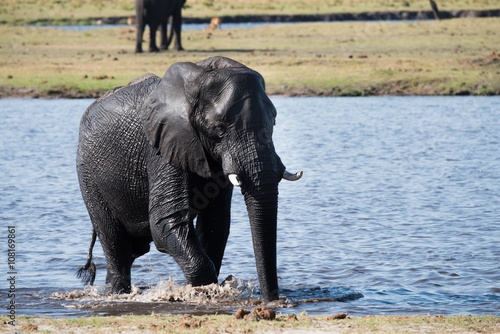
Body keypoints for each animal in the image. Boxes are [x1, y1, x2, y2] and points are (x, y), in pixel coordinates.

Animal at [76, 55, 302, 302]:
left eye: (274, 121)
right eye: (219, 129)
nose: (273, 301)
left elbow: (216, 224)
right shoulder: (162, 146)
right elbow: (165, 221)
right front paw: (209, 290)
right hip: (88, 176)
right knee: (115, 245)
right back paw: (118, 293)